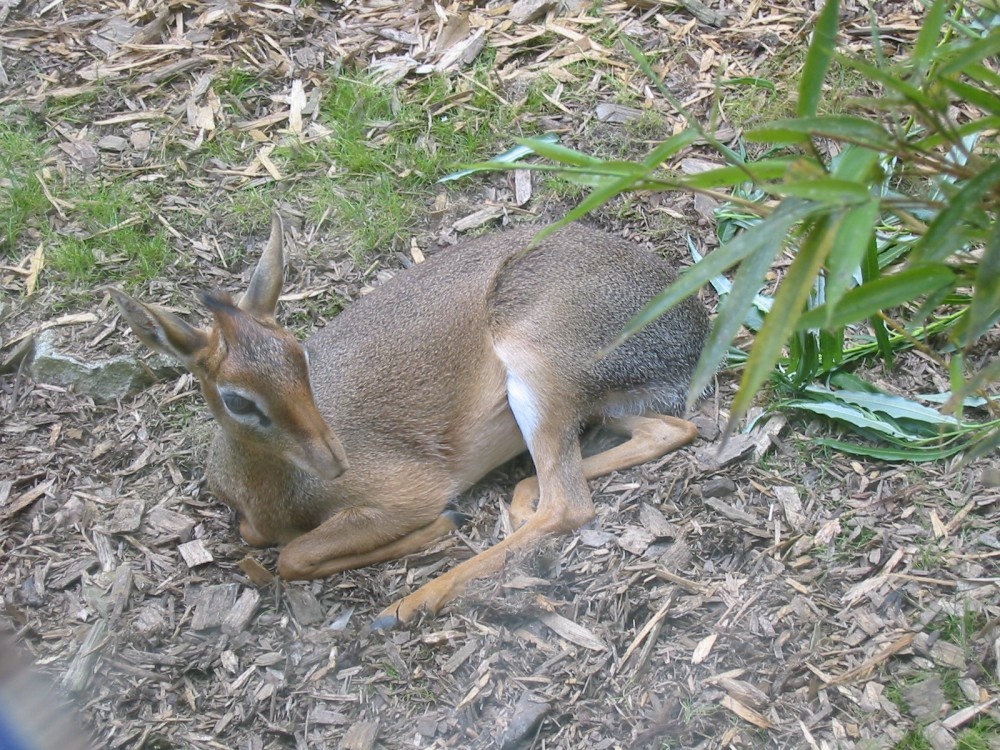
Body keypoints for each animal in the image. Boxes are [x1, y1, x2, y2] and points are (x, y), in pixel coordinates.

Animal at [113, 217, 712, 628]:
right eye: (238, 399)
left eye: (299, 356)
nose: (335, 458)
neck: (268, 493)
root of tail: (694, 324)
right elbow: (271, 545)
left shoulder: (404, 492)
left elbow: (292, 556)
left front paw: (439, 525)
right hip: (594, 401)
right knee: (666, 431)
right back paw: (516, 498)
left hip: (539, 371)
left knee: (569, 502)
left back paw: (405, 605)